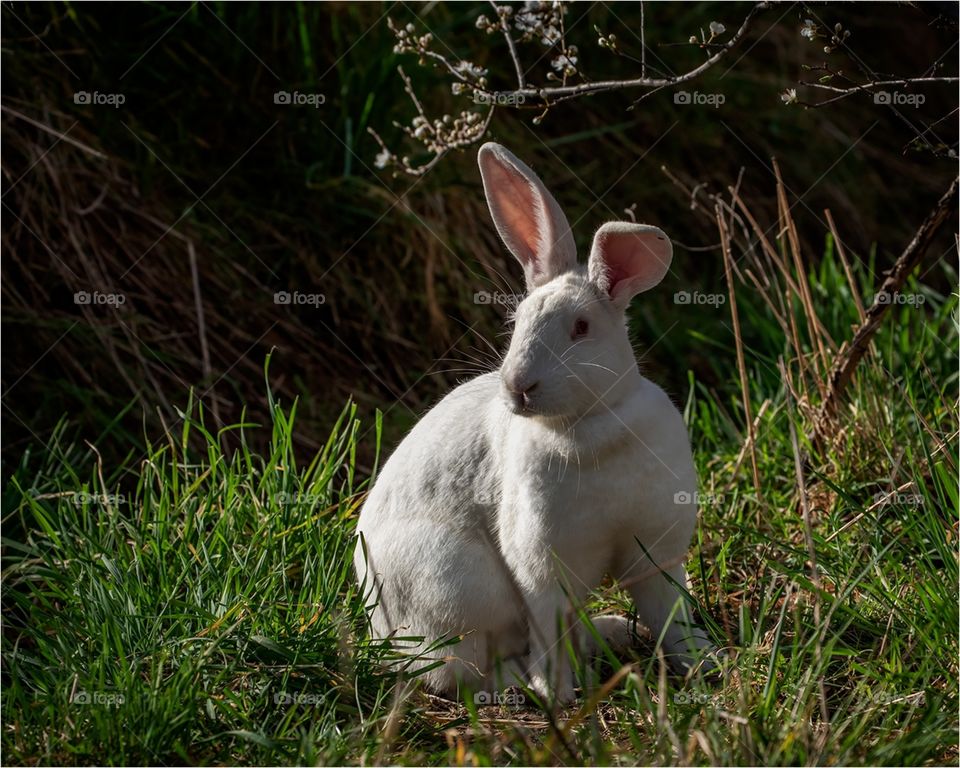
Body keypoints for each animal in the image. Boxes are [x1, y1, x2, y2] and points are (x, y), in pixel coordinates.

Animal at [354, 142, 713, 704]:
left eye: (581, 328)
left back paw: (611, 632)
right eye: (517, 322)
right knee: (459, 671)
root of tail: (382, 634)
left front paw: (702, 663)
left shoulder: (656, 552)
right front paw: (559, 694)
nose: (518, 386)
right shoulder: (541, 569)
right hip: (460, 589)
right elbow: (548, 625)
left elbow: (668, 614)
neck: (591, 423)